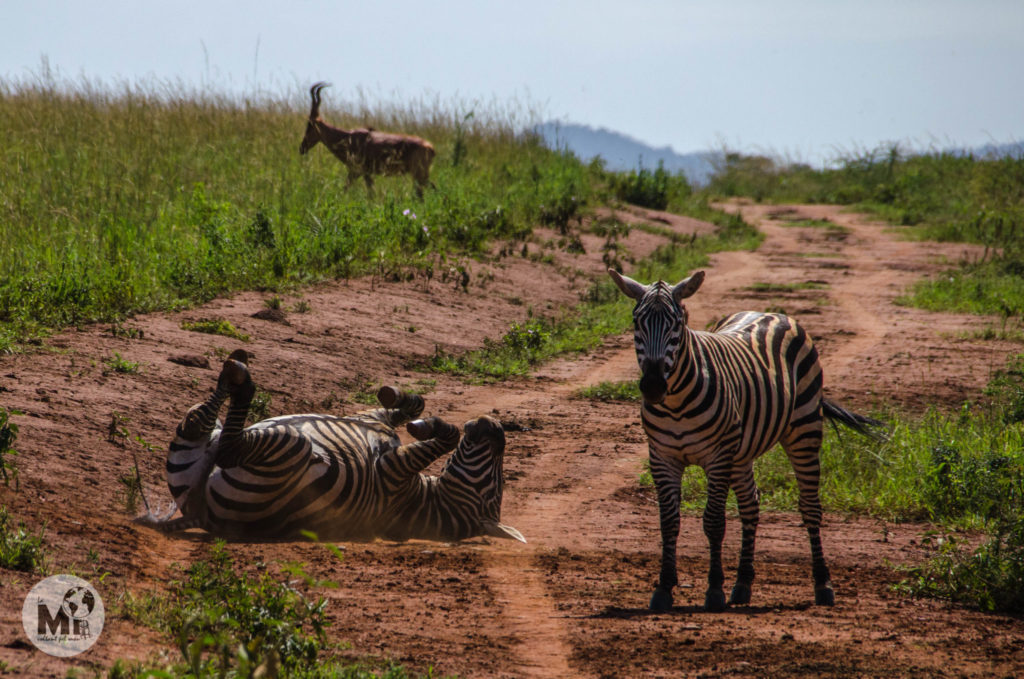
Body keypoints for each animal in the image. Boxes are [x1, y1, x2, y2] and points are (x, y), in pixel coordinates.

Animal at [135, 352, 524, 544]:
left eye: (497, 488)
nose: (495, 426)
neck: (420, 500)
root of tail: (203, 514)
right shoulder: (369, 418)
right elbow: (408, 407)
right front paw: (403, 400)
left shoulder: (391, 474)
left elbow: (448, 437)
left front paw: (429, 426)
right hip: (195, 456)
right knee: (199, 420)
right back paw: (234, 366)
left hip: (289, 450)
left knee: (229, 446)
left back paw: (241, 376)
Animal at [299, 82, 436, 197]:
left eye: (309, 125)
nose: (302, 148)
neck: (348, 137)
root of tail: (430, 147)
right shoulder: (365, 173)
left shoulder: (358, 172)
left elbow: (352, 190)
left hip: (419, 175)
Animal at [606, 268, 880, 614]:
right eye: (636, 322)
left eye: (678, 323)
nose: (653, 386)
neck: (676, 403)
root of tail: (769, 312)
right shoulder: (662, 457)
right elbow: (669, 522)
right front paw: (664, 588)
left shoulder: (718, 457)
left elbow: (713, 522)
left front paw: (713, 590)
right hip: (741, 452)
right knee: (751, 504)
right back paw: (743, 584)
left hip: (803, 430)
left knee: (810, 507)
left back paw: (822, 584)